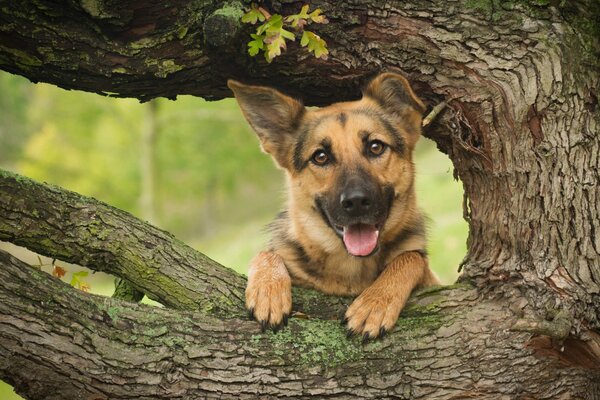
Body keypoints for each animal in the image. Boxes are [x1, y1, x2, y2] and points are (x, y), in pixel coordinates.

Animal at [227, 72, 438, 340]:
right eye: (320, 157)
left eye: (376, 147)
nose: (356, 202)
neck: (350, 266)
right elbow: (267, 252)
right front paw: (269, 290)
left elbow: (411, 258)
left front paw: (375, 303)